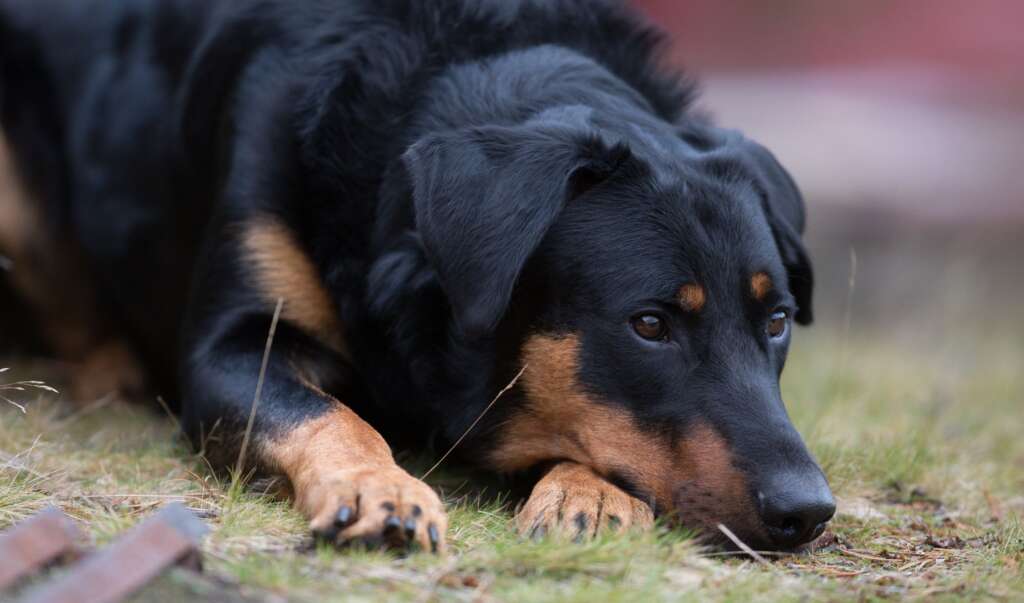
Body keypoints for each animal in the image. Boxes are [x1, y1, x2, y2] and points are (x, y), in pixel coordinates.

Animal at [0, 0, 831, 552]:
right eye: (650, 324)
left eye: (777, 322)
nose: (811, 511)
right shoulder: (229, 348)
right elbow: (325, 412)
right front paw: (382, 487)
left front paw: (588, 493)